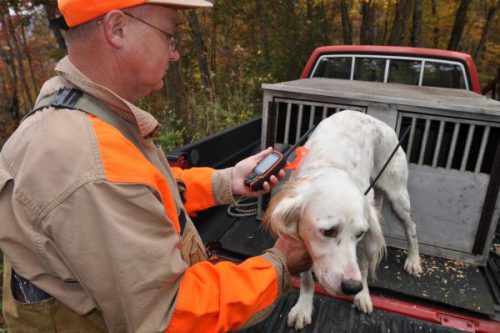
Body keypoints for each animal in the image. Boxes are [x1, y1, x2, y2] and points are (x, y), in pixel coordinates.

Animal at [262, 110, 422, 328]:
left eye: (360, 233)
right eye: (328, 231)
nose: (352, 287)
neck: (331, 166)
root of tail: (381, 123)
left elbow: (363, 266)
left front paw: (363, 294)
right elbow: (306, 279)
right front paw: (303, 307)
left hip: (398, 197)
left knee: (411, 227)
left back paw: (414, 260)